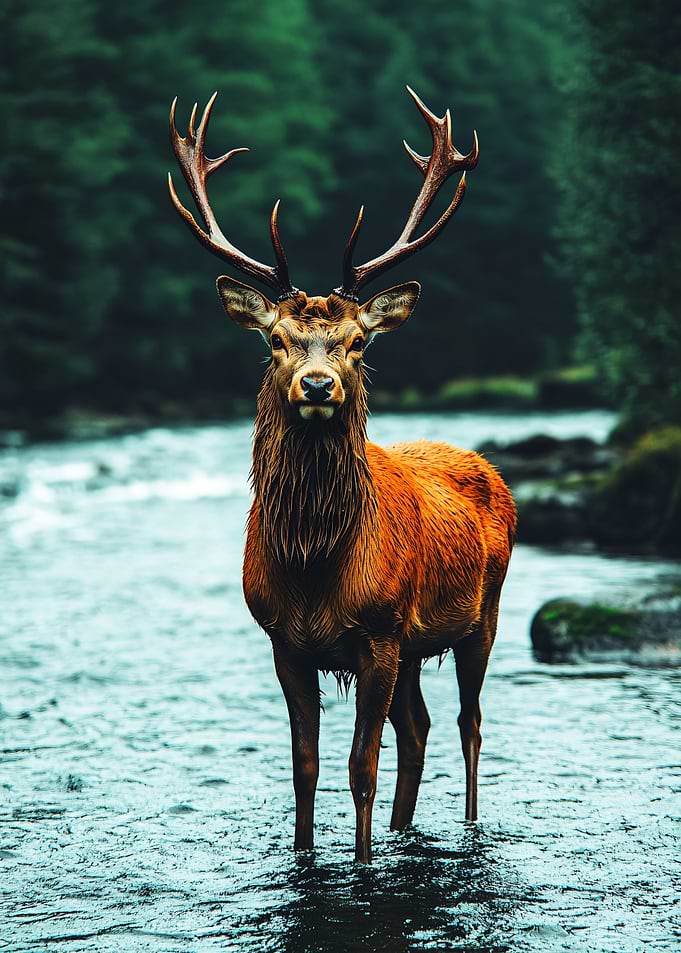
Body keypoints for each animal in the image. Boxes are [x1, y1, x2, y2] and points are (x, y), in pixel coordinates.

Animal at [168, 87, 516, 863]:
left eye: (358, 341)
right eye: (275, 339)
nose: (318, 384)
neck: (315, 569)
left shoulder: (378, 633)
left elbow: (361, 766)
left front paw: (360, 862)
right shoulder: (283, 640)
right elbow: (305, 766)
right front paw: (306, 853)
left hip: (480, 613)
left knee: (468, 723)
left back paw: (467, 825)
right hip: (417, 644)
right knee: (418, 730)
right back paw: (403, 830)